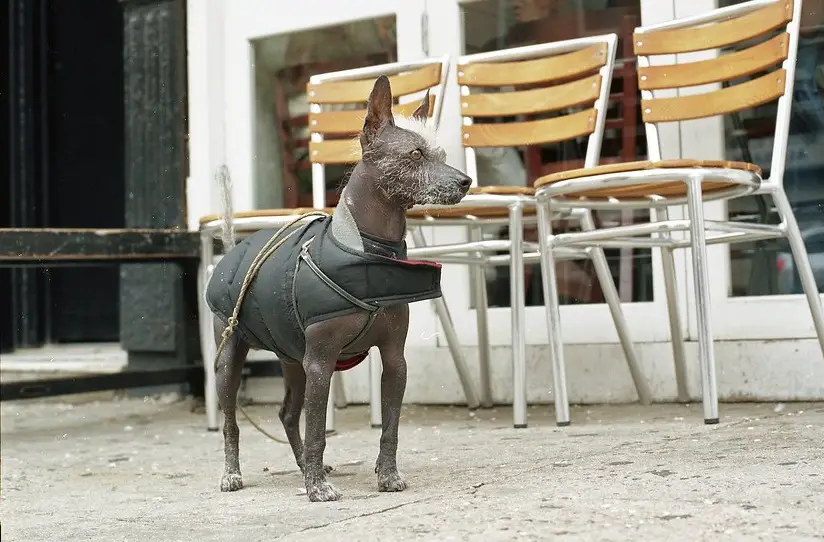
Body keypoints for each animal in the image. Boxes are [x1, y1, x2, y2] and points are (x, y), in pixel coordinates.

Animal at [205, 74, 470, 504]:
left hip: (292, 361)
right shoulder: (321, 362)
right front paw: (317, 488)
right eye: (415, 154)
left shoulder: (394, 361)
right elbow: (317, 429)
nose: (465, 181)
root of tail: (232, 248)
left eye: (441, 154)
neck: (368, 251)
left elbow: (390, 428)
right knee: (233, 421)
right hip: (231, 360)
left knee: (286, 415)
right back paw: (234, 474)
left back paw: (301, 468)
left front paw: (387, 476)